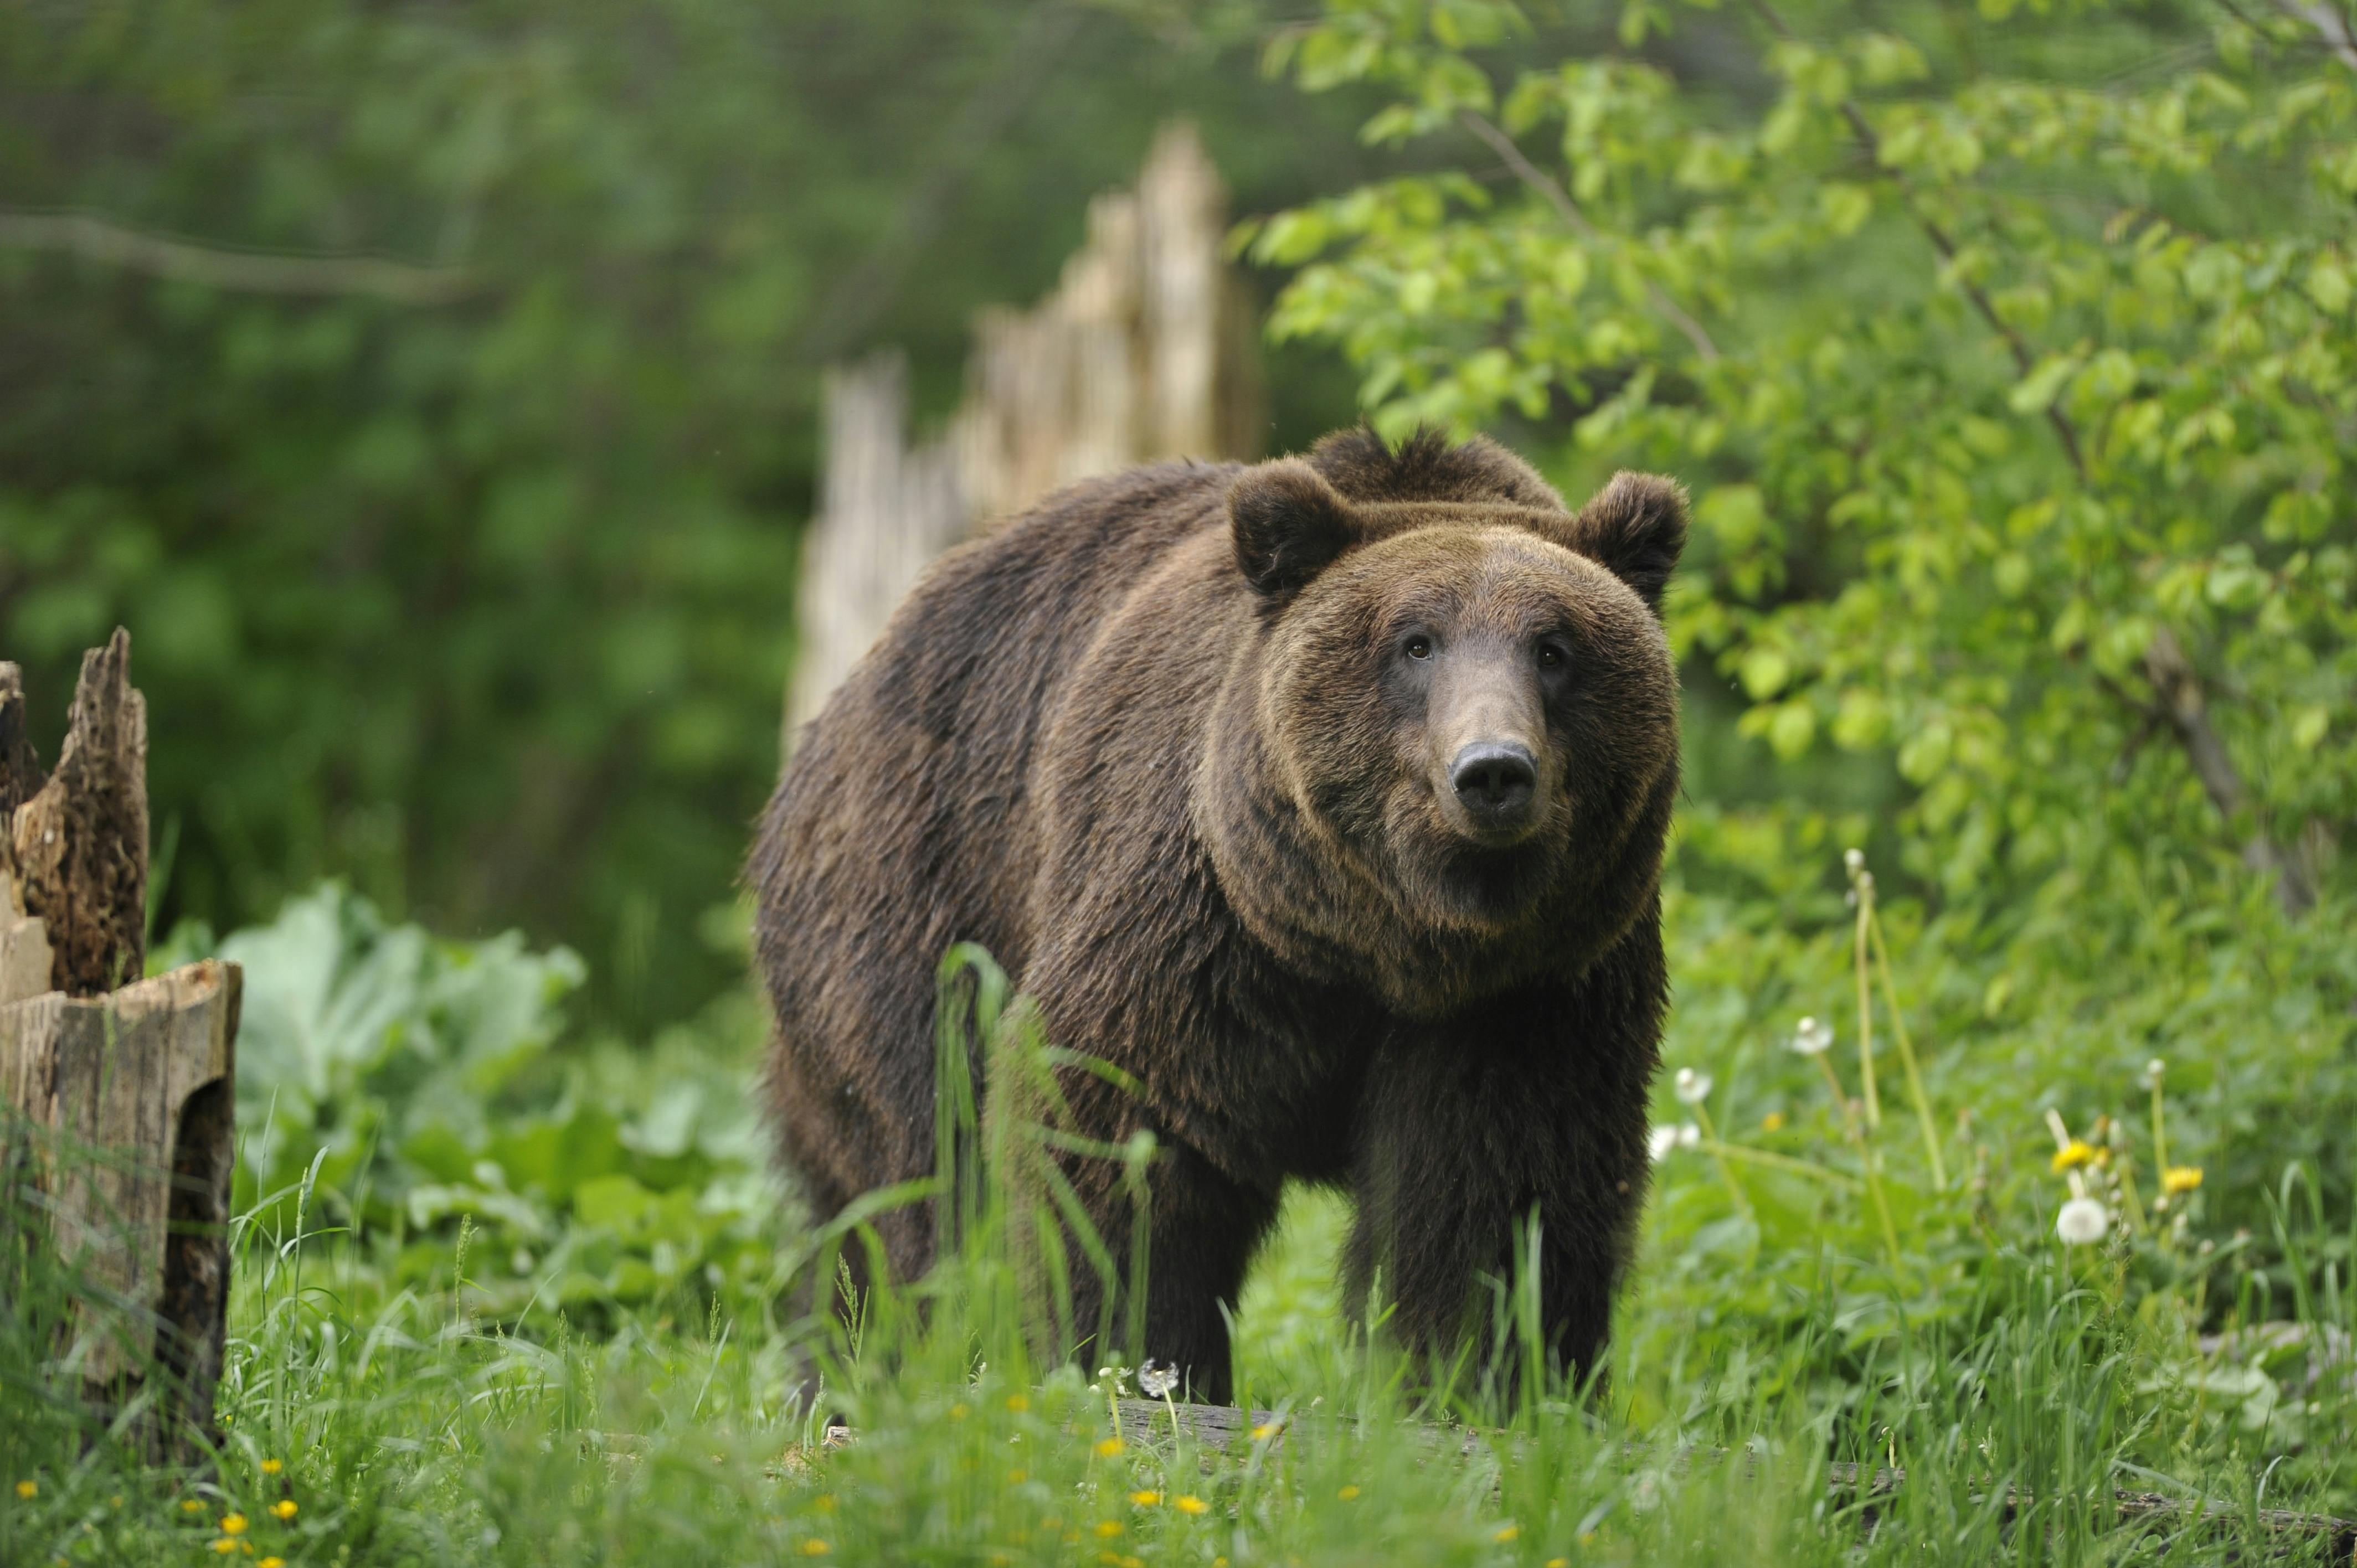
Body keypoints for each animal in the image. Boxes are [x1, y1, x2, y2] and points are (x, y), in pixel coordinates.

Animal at [744, 424, 1687, 1396]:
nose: (1494, 769)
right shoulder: (1204, 922)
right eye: (1415, 643)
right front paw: (1143, 1358)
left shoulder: (1533, 988)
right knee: (914, 1180)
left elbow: (1497, 1187)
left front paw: (1487, 1380)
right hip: (920, 898)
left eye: (1555, 647)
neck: (1389, 941)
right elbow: (1122, 1128)